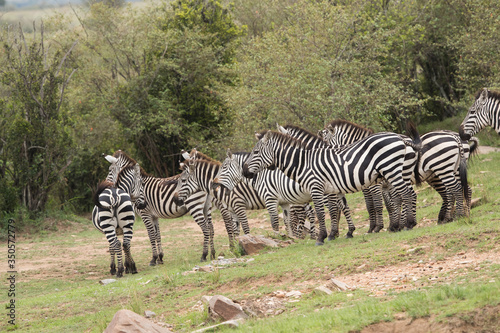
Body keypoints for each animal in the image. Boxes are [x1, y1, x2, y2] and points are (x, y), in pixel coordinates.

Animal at [244, 127, 420, 244]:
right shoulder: (333, 189)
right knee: (408, 195)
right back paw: (403, 224)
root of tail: (399, 137)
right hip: (397, 172)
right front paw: (338, 233)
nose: (245, 171)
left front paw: (322, 237)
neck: (303, 162)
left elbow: (323, 213)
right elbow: (338, 210)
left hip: (392, 170)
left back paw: (407, 224)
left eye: (256, 152)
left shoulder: (316, 188)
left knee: (405, 194)